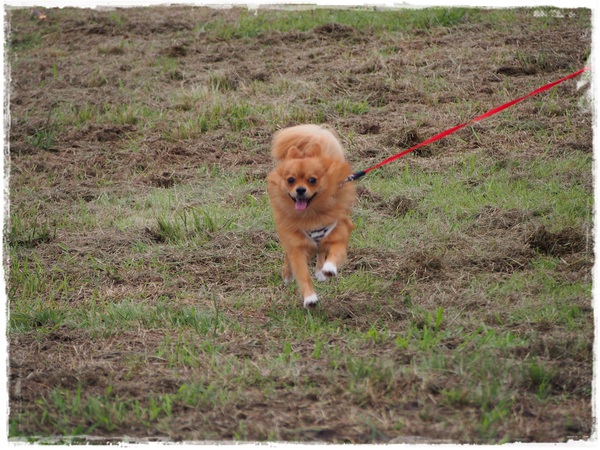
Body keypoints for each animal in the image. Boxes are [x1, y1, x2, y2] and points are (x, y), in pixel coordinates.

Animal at [268, 125, 356, 308]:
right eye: (291, 180)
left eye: (312, 180)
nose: (300, 190)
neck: (311, 215)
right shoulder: (297, 248)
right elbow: (302, 275)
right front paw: (309, 298)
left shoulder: (338, 236)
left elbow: (335, 253)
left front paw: (328, 269)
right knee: (288, 255)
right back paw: (287, 274)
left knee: (321, 251)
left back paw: (321, 270)